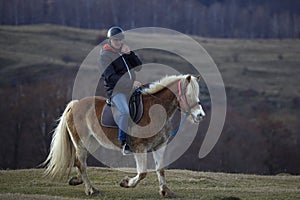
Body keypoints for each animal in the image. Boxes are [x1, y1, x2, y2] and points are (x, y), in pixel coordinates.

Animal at [42, 74, 206, 198]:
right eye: (188, 94)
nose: (200, 115)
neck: (156, 111)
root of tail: (74, 105)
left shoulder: (159, 146)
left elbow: (160, 169)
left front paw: (165, 191)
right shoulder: (139, 147)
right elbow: (142, 173)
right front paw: (126, 182)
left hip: (92, 143)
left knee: (79, 162)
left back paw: (77, 180)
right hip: (82, 142)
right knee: (81, 163)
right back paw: (91, 190)